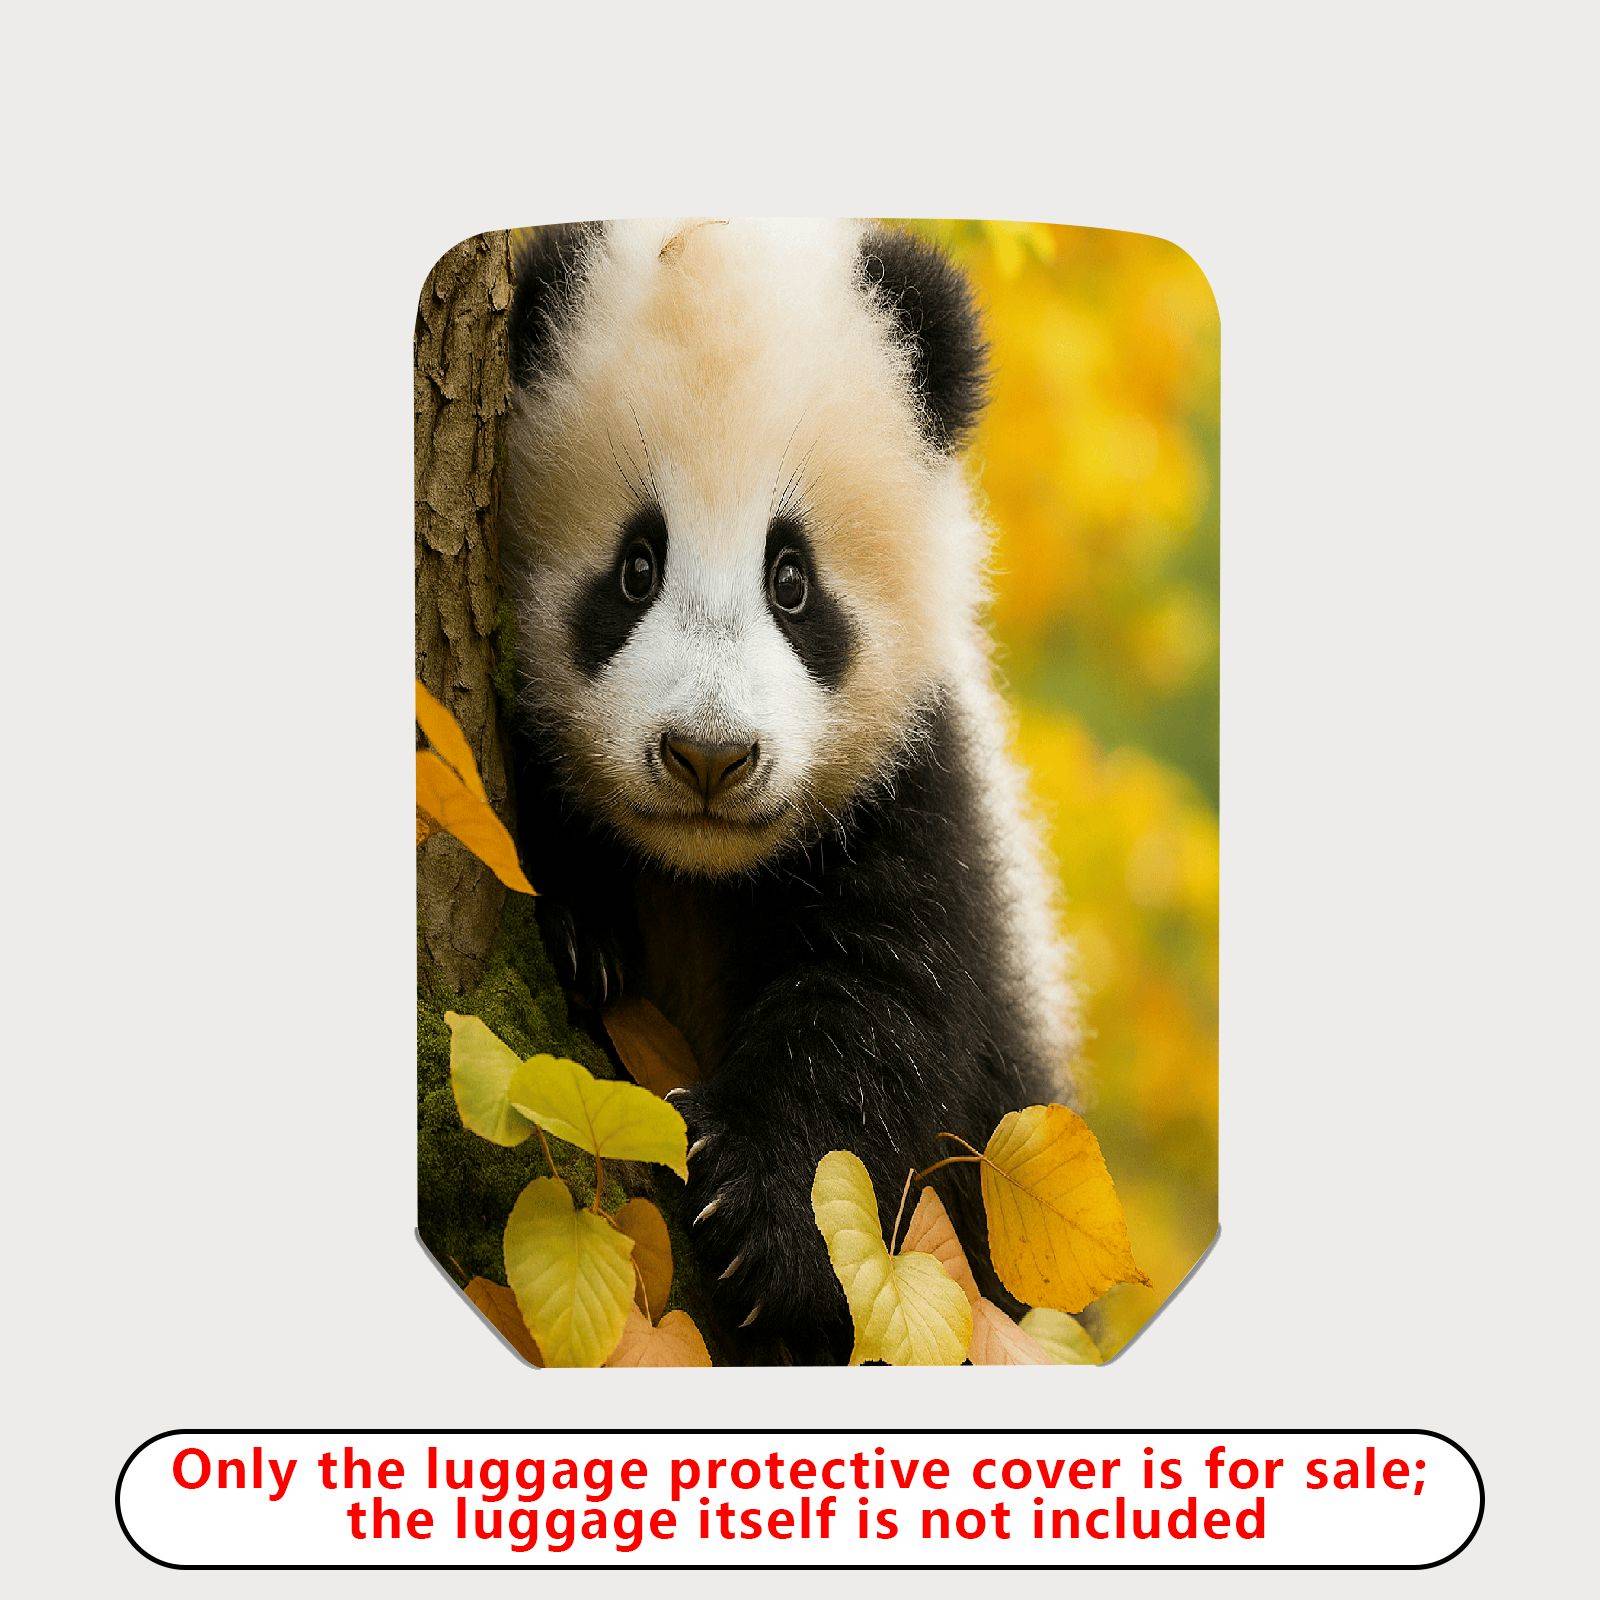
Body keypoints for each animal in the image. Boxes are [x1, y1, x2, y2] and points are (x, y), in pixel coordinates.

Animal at [500, 218, 1077, 1362]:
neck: (698, 869)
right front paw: (583, 931)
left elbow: (878, 1008)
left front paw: (761, 1222)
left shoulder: (916, 795)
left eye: (792, 580)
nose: (707, 757)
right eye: (636, 567)